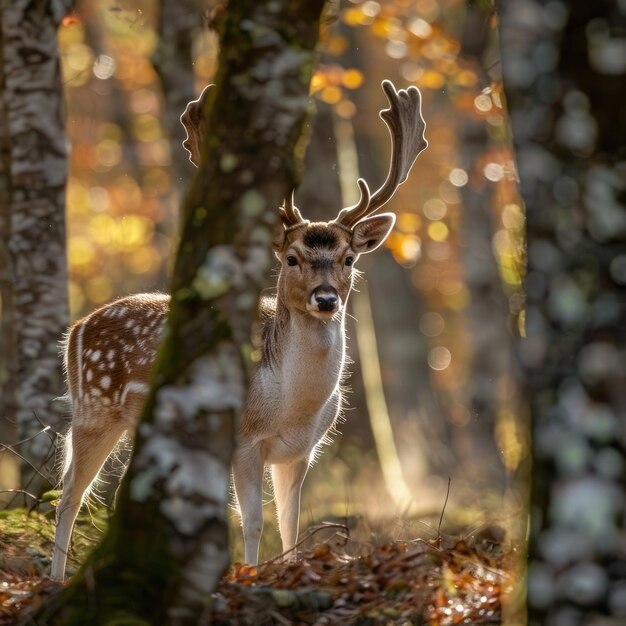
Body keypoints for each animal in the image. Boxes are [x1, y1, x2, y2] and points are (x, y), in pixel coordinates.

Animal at [51, 80, 426, 576]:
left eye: (348, 258)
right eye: (292, 259)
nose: (325, 299)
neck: (290, 405)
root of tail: (75, 330)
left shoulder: (302, 451)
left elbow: (291, 523)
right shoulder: (244, 440)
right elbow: (252, 522)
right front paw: (249, 573)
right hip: (93, 409)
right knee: (69, 495)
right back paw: (55, 578)